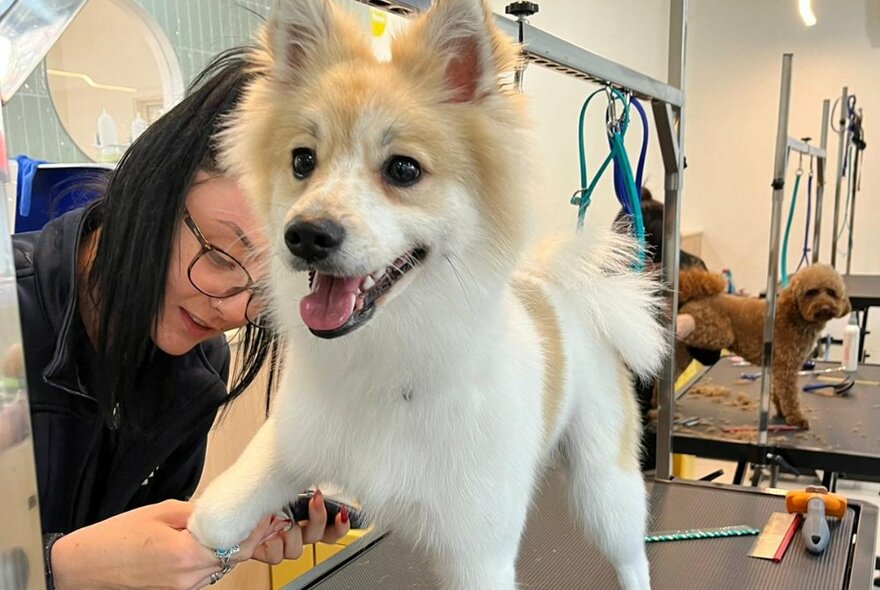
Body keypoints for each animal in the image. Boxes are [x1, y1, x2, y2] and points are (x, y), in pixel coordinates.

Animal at [189, 2, 664, 588]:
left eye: (403, 169)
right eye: (302, 161)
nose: (306, 234)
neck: (392, 358)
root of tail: (565, 292)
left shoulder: (477, 553)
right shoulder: (298, 438)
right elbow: (214, 516)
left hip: (605, 488)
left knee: (631, 555)